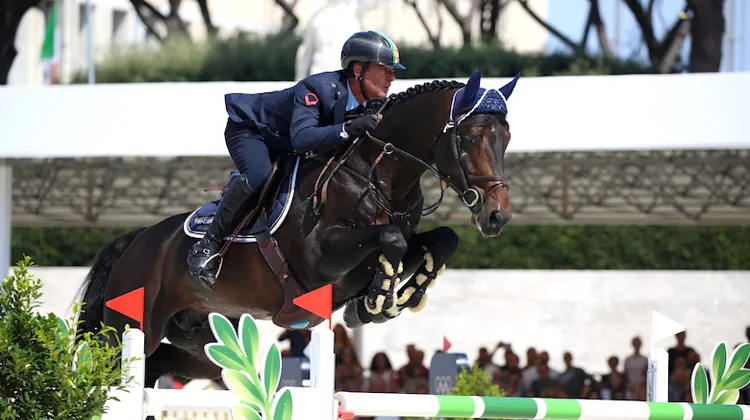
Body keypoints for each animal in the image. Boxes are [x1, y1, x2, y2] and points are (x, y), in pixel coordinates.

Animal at [74, 69, 520, 389]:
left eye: (507, 138)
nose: (497, 216)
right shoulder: (320, 262)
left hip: (202, 343)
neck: (375, 176)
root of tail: (136, 240)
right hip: (129, 327)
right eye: (471, 137)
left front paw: (391, 300)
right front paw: (375, 303)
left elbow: (442, 239)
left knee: (157, 367)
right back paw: (203, 259)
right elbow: (388, 240)